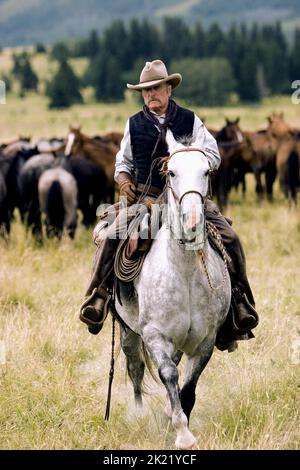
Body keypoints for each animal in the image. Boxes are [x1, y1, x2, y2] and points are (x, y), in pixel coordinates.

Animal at [116, 129, 231, 448]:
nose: (191, 221)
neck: (185, 270)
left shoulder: (206, 341)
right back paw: (139, 413)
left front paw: (176, 422)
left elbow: (187, 387)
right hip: (129, 332)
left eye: (206, 171)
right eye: (172, 172)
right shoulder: (155, 334)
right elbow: (168, 374)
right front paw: (182, 433)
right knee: (136, 368)